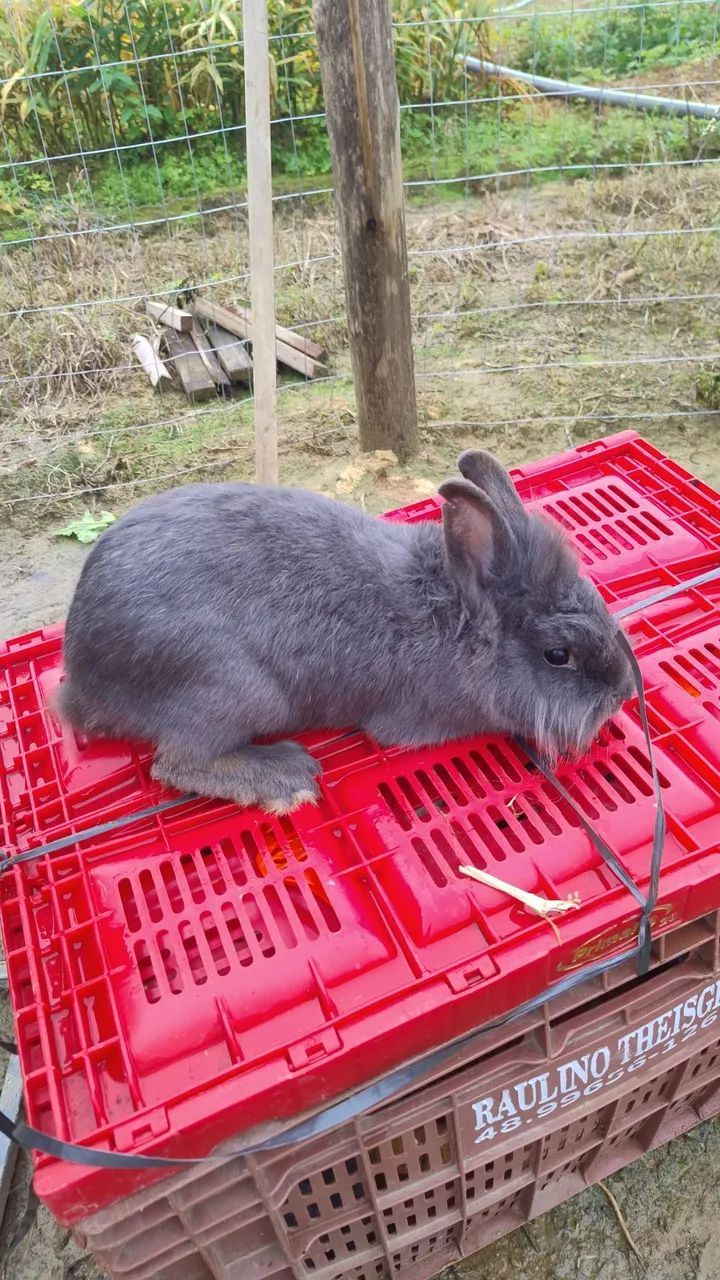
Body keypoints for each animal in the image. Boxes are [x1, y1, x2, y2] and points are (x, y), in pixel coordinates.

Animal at [57, 450, 635, 814]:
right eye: (558, 654)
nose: (623, 693)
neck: (460, 615)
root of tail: (82, 682)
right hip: (233, 690)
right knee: (178, 763)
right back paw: (286, 778)